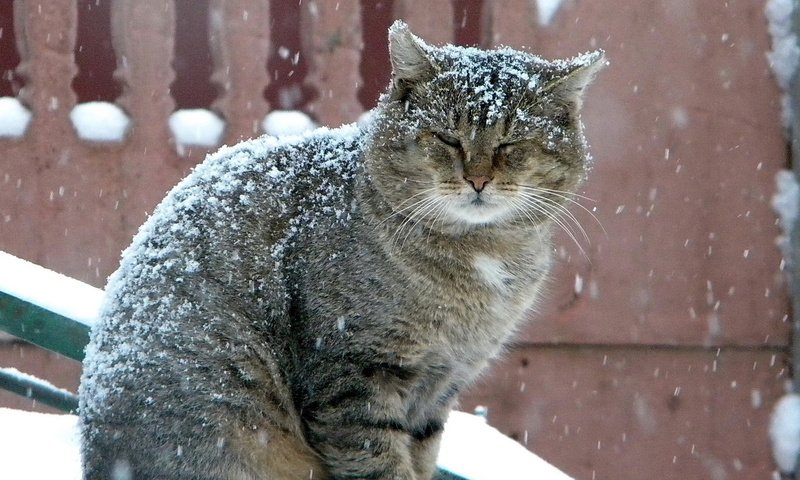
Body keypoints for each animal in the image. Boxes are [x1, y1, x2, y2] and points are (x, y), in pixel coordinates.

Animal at [78, 18, 604, 480]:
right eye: (447, 138)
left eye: (513, 143)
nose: (478, 179)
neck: (478, 260)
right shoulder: (355, 376)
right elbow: (380, 462)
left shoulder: (441, 387)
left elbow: (421, 457)